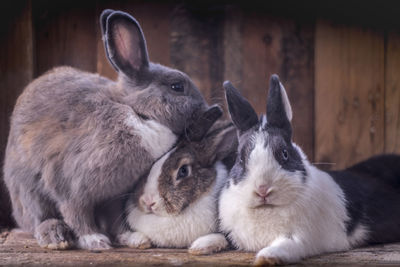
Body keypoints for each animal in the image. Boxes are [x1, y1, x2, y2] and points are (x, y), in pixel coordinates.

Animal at [3, 10, 206, 252]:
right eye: (177, 87)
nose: (206, 107)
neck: (138, 113)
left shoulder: (114, 195)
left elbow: (115, 219)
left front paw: (132, 238)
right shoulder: (71, 188)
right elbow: (76, 215)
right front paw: (94, 240)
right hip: (28, 192)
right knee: (38, 218)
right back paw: (55, 237)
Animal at [119, 105, 238, 254]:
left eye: (183, 171)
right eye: (150, 165)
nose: (147, 201)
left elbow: (225, 238)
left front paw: (200, 246)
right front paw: (138, 240)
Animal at [198, 75, 400, 266]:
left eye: (284, 154)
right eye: (240, 158)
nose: (262, 190)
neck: (267, 209)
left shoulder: (304, 238)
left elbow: (288, 244)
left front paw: (267, 257)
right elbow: (224, 236)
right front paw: (201, 245)